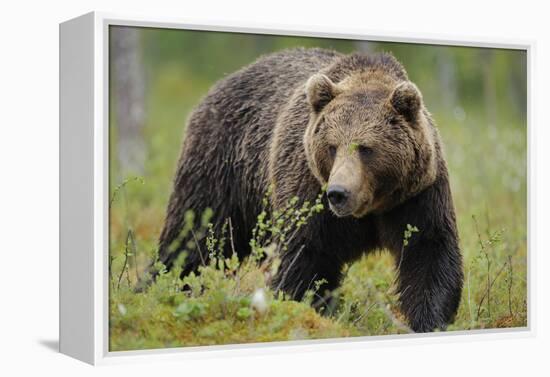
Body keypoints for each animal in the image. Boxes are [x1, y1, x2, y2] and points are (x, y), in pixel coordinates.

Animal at [158, 47, 466, 332]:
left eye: (366, 148)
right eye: (332, 146)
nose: (338, 193)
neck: (371, 207)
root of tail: (221, 83)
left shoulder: (417, 196)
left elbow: (428, 253)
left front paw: (428, 320)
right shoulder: (308, 189)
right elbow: (304, 257)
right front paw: (304, 309)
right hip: (222, 166)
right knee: (192, 237)